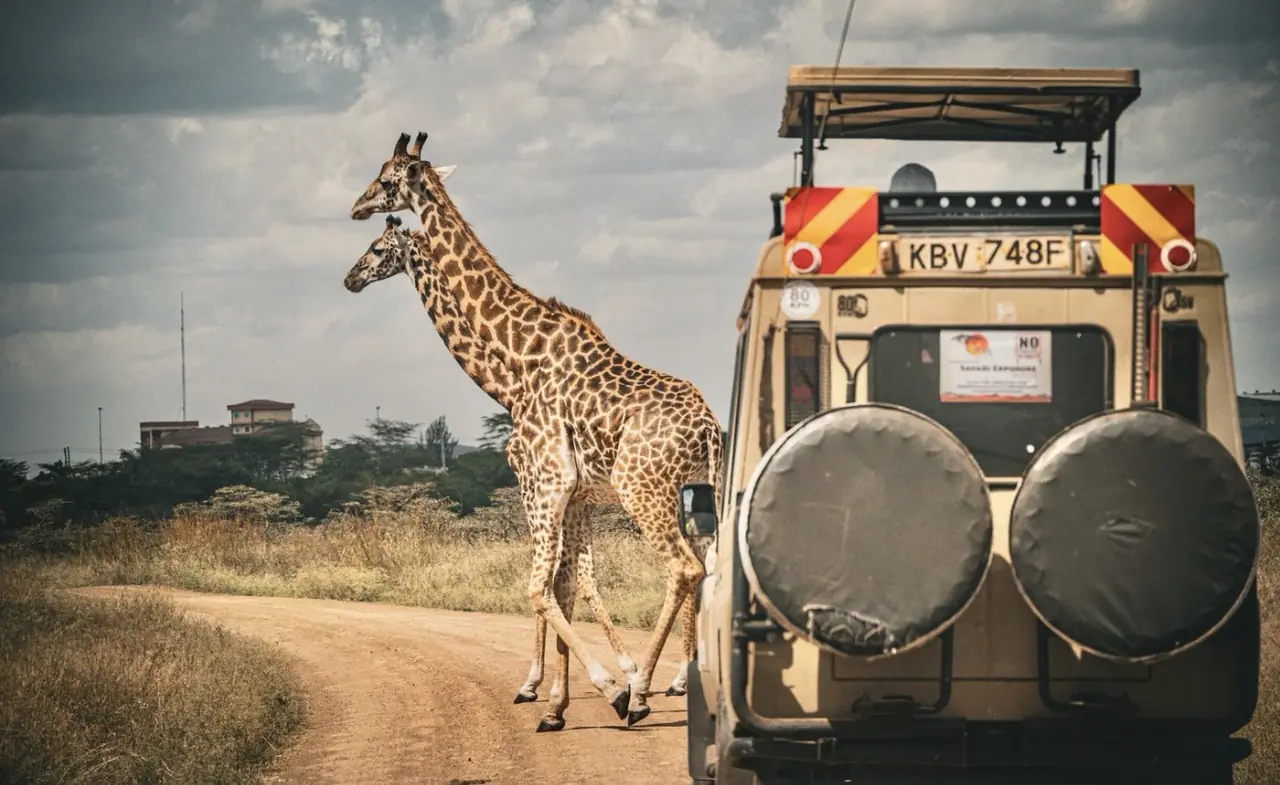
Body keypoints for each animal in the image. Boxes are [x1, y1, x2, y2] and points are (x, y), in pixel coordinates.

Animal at [347, 131, 722, 730]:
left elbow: (541, 587)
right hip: (702, 489)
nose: (350, 276)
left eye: (385, 181)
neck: (514, 366)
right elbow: (566, 584)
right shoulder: (573, 494)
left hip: (644, 490)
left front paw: (594, 688)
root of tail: (708, 426)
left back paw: (644, 688)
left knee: (684, 568)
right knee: (712, 566)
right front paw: (556, 702)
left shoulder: (543, 482)